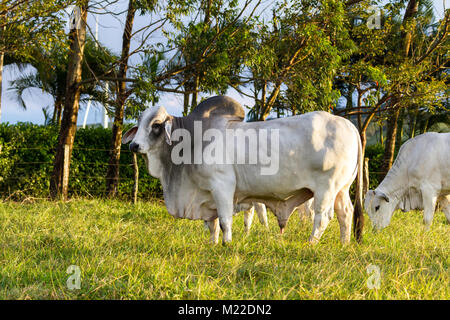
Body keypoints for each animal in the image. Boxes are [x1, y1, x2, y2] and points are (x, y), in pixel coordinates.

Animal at [123, 95, 366, 245]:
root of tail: (349, 125)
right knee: (345, 214)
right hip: (342, 188)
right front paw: (212, 244)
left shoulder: (223, 187)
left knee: (323, 217)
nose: (134, 146)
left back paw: (311, 243)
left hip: (326, 188)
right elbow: (211, 225)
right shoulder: (205, 195)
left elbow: (224, 221)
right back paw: (344, 244)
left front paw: (227, 244)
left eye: (155, 125)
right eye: (139, 123)